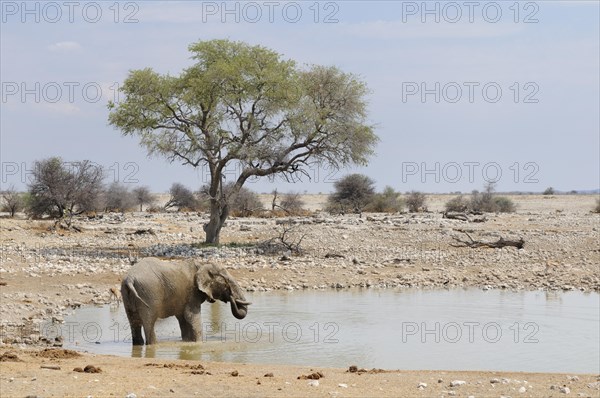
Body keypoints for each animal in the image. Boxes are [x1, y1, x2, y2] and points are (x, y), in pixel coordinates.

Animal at [120, 258, 250, 346]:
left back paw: (138, 345)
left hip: (127, 295)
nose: (231, 296)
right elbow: (191, 316)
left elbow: (183, 318)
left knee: (134, 321)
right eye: (226, 282)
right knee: (149, 322)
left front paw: (187, 341)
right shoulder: (192, 293)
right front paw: (199, 343)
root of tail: (130, 279)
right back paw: (154, 344)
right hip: (149, 292)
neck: (202, 264)